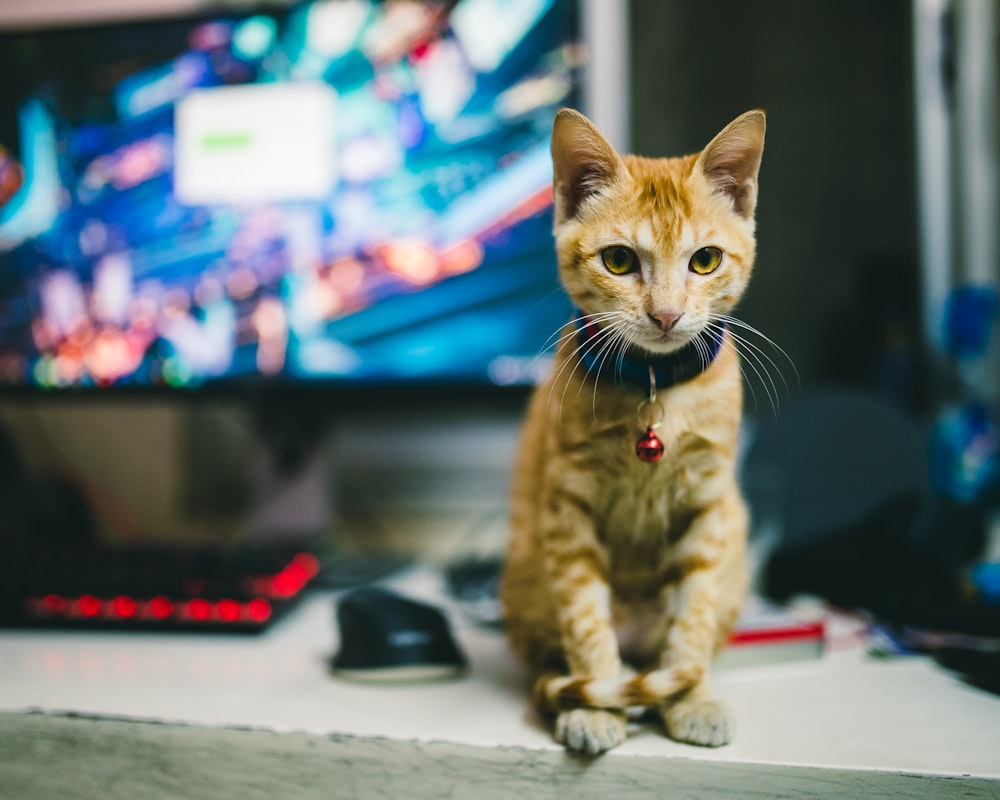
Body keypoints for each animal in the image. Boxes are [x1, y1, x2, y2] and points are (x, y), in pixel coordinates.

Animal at [500, 109, 764, 752]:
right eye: (619, 261)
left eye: (705, 260)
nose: (666, 315)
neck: (653, 386)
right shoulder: (567, 508)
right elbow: (585, 619)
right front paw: (598, 704)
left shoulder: (710, 506)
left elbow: (693, 617)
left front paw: (691, 695)